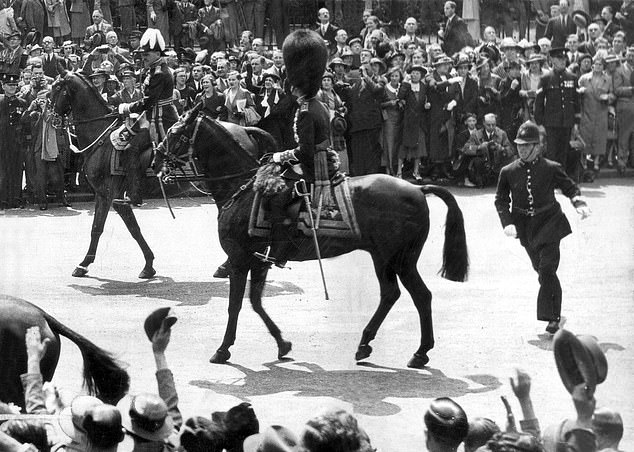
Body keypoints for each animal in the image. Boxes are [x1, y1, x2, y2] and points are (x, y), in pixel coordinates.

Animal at [47, 69, 154, 278]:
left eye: (56, 88)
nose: (51, 118)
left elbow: (102, 228)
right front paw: (149, 264)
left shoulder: (108, 194)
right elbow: (127, 228)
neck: (99, 135)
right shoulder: (108, 195)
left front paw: (84, 263)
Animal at [154, 111, 470, 370]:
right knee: (393, 294)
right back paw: (369, 345)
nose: (156, 159)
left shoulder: (239, 258)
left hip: (398, 259)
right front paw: (282, 343)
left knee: (419, 296)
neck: (241, 187)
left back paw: (418, 352)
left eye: (174, 132)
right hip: (384, 258)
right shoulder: (259, 260)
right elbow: (255, 302)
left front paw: (223, 349)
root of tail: (418, 189)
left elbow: (236, 305)